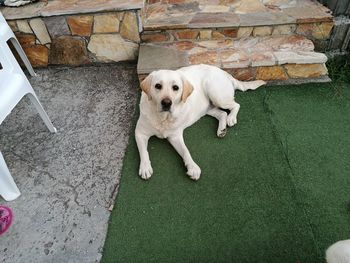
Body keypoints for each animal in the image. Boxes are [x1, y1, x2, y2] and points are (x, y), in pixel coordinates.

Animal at [135, 64, 266, 180]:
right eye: (158, 86)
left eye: (175, 88)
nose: (166, 103)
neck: (163, 118)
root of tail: (225, 73)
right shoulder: (140, 133)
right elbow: (144, 152)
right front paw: (145, 167)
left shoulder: (175, 136)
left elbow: (185, 151)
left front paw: (192, 167)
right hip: (208, 108)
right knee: (222, 113)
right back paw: (221, 129)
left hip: (216, 94)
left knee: (236, 105)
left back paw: (231, 118)